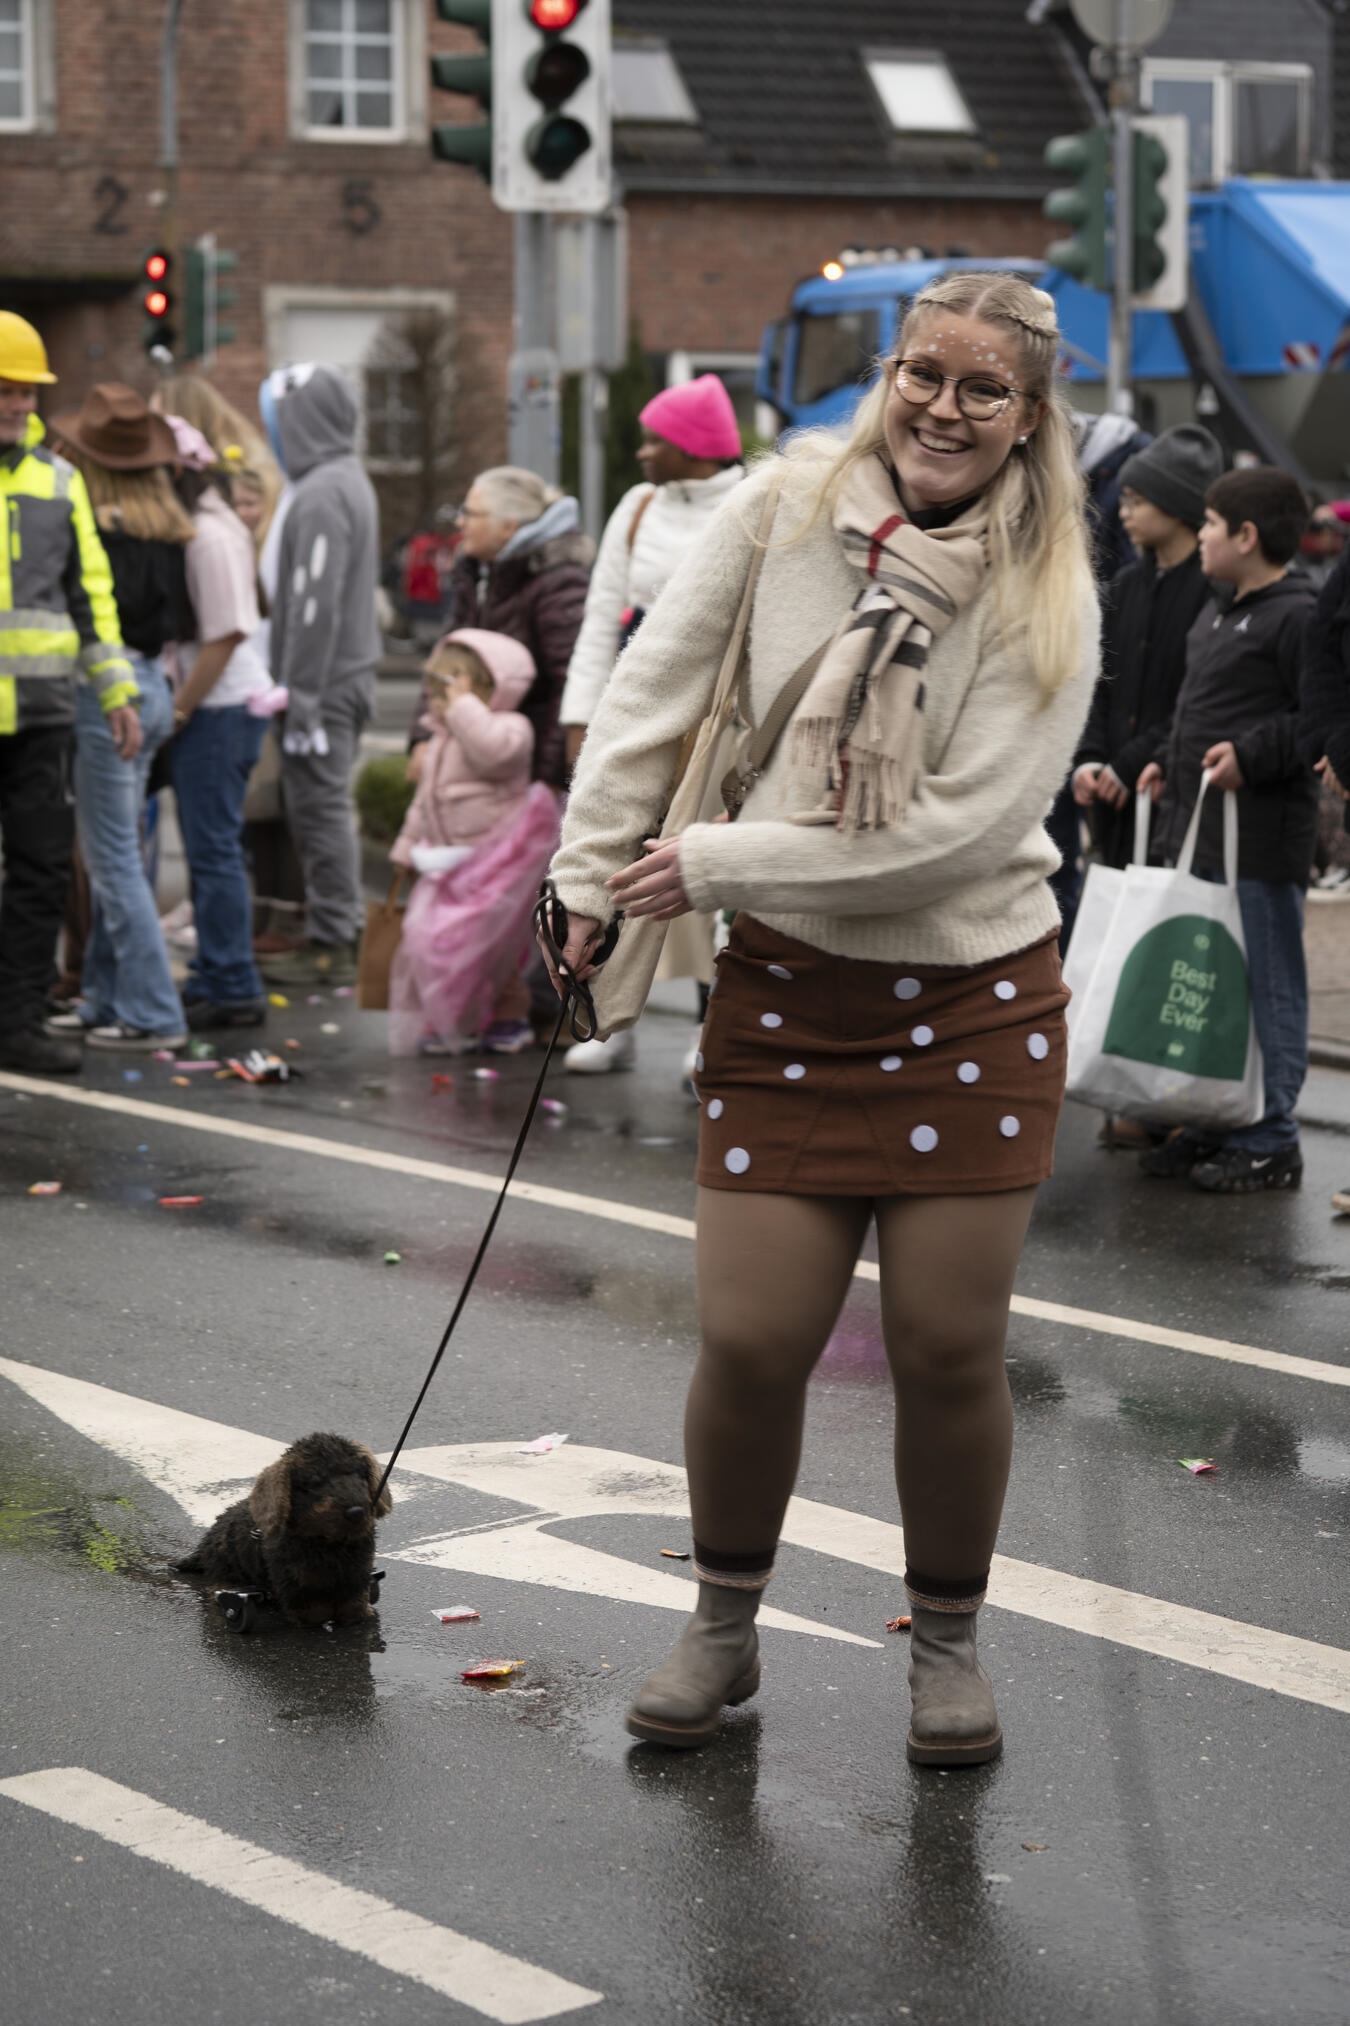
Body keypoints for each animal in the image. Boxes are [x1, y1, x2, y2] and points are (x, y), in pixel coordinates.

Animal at [176, 1432, 393, 1627]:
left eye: (360, 1475)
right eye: (315, 1483)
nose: (356, 1512)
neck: (330, 1543)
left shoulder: (357, 1574)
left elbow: (353, 1603)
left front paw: (358, 1615)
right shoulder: (297, 1584)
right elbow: (313, 1611)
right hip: (226, 1569)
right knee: (220, 1589)